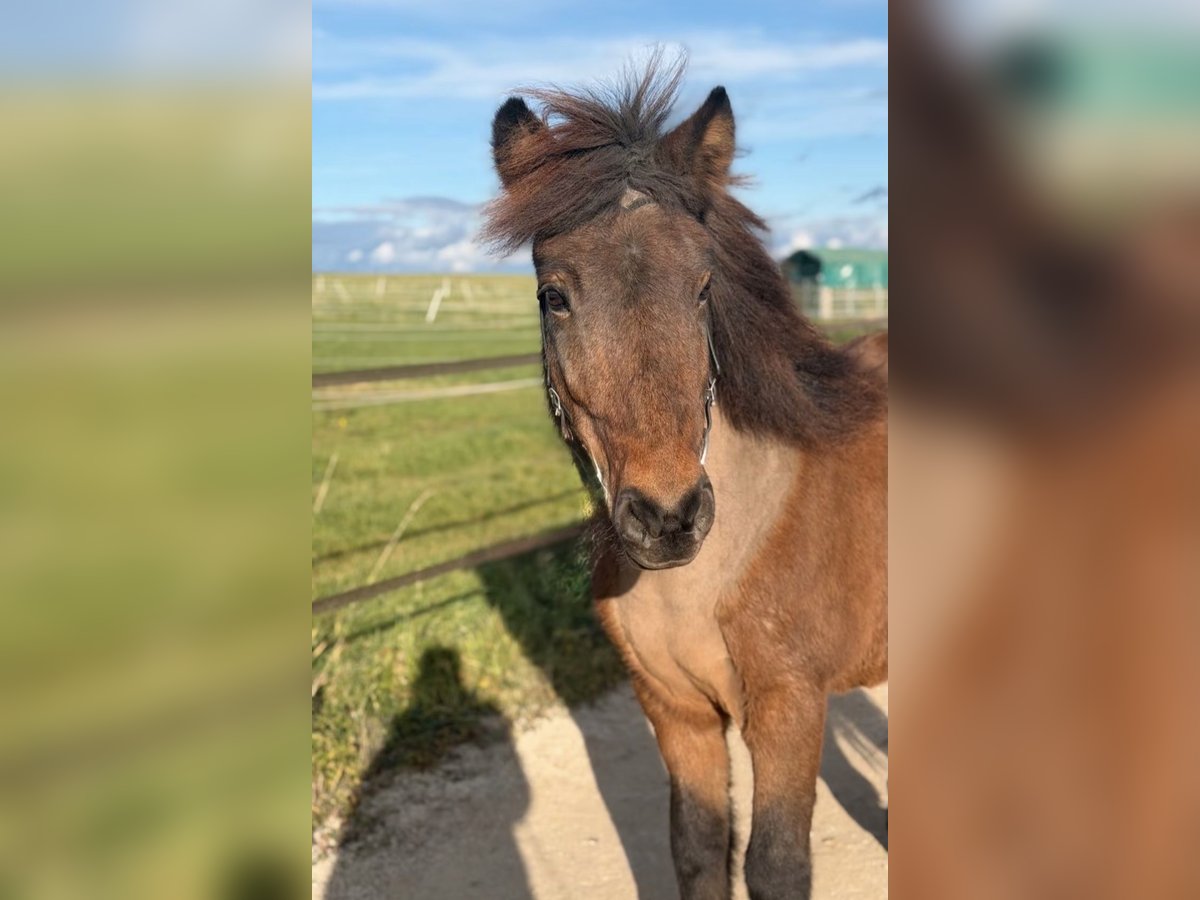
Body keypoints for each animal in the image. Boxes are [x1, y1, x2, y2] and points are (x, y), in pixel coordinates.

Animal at [483, 61, 887, 899]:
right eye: (553, 295)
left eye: (704, 287)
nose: (668, 518)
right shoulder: (675, 710)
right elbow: (699, 847)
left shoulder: (788, 710)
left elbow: (775, 864)